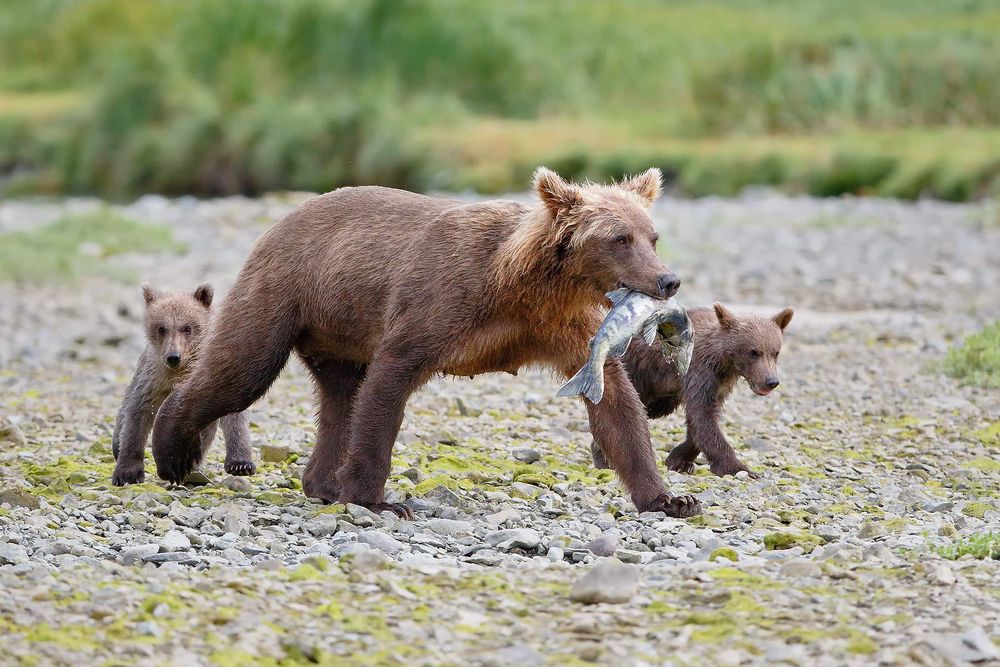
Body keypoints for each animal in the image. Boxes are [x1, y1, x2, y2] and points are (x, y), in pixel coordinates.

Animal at [111, 283, 255, 486]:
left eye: (187, 327)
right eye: (161, 328)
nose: (173, 357)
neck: (179, 370)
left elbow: (232, 415)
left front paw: (241, 464)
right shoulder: (153, 379)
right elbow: (137, 416)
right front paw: (127, 473)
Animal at [151, 167, 700, 518]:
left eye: (652, 236)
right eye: (619, 239)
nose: (668, 279)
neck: (523, 284)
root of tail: (280, 219)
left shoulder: (563, 328)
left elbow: (615, 403)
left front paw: (670, 498)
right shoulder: (444, 301)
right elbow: (391, 380)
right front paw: (376, 498)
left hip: (338, 332)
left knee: (339, 396)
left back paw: (321, 482)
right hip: (285, 292)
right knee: (244, 368)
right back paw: (173, 452)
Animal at [591, 302, 793, 478]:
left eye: (775, 352)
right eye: (753, 352)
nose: (771, 381)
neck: (724, 362)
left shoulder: (718, 385)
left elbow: (700, 420)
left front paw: (679, 459)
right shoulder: (700, 373)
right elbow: (702, 416)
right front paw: (740, 468)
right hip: (634, 372)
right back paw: (604, 459)